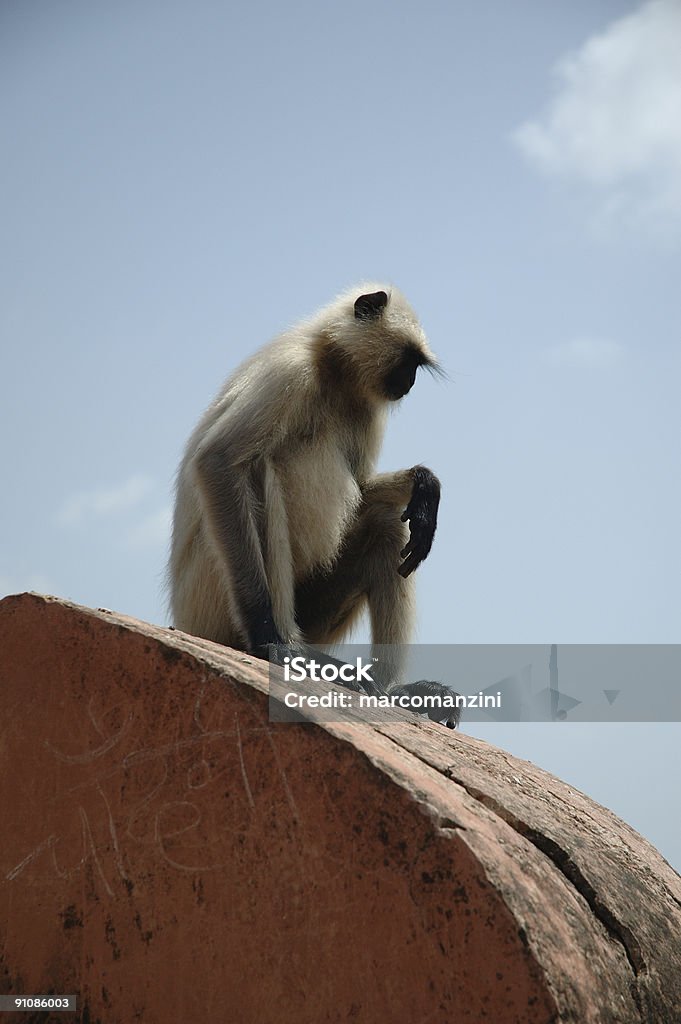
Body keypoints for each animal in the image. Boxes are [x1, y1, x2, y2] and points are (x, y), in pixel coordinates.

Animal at [168, 284, 456, 724]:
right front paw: (268, 639)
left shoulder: (364, 407)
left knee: (386, 523)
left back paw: (391, 691)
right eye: (408, 362)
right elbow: (218, 461)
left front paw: (424, 485)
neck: (332, 368)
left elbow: (362, 492)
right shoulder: (291, 371)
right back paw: (288, 649)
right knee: (263, 467)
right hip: (209, 603)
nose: (408, 381)